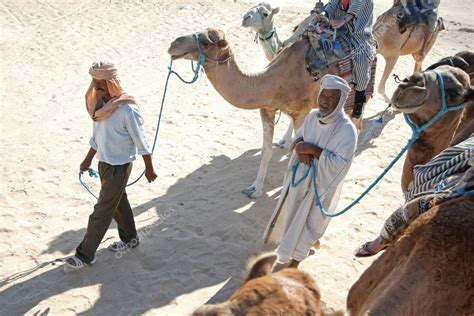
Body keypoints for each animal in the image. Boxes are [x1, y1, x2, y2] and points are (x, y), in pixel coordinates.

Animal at [168, 29, 360, 198]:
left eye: (206, 42)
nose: (173, 44)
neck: (274, 82)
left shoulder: (301, 113)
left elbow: (297, 152)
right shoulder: (267, 110)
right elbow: (266, 151)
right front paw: (255, 189)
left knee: (355, 123)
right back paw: (284, 140)